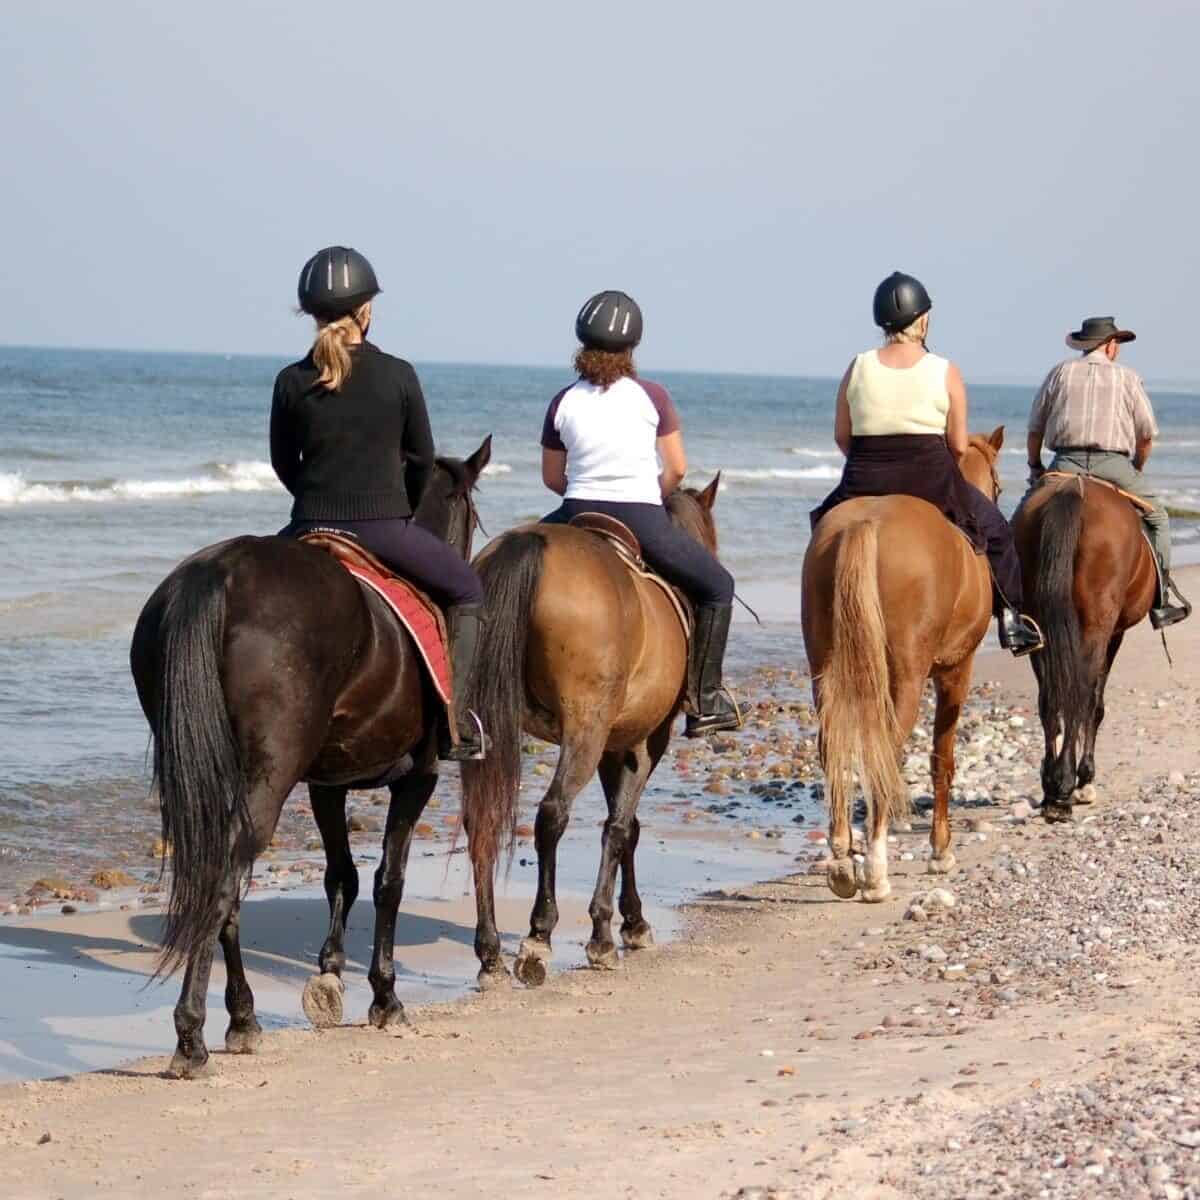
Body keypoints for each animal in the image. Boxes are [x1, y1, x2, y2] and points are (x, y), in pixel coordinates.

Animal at [129, 436, 489, 1075]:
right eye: (470, 516)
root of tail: (219, 574)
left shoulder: (325, 783)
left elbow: (341, 873)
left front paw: (330, 975)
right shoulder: (416, 778)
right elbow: (388, 880)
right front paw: (384, 996)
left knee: (223, 881)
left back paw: (242, 1017)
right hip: (271, 778)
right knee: (223, 883)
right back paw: (192, 1035)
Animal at [458, 475, 720, 984]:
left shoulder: (612, 745)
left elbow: (626, 825)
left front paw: (631, 921)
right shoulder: (643, 740)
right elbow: (621, 827)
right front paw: (609, 931)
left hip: (484, 728)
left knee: (480, 819)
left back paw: (490, 952)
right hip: (585, 728)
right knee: (552, 814)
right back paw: (538, 936)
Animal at [801, 429, 1008, 902]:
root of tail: (866, 524)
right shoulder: (956, 672)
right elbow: (942, 758)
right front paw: (940, 852)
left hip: (824, 670)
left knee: (833, 747)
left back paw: (842, 864)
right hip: (908, 680)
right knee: (885, 754)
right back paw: (875, 873)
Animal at [1008, 477, 1156, 825]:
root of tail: (1073, 488)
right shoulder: (1114, 634)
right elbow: (1095, 702)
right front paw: (1085, 777)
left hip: (1039, 626)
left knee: (1050, 699)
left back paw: (1052, 786)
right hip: (1097, 624)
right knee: (1082, 694)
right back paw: (1068, 785)